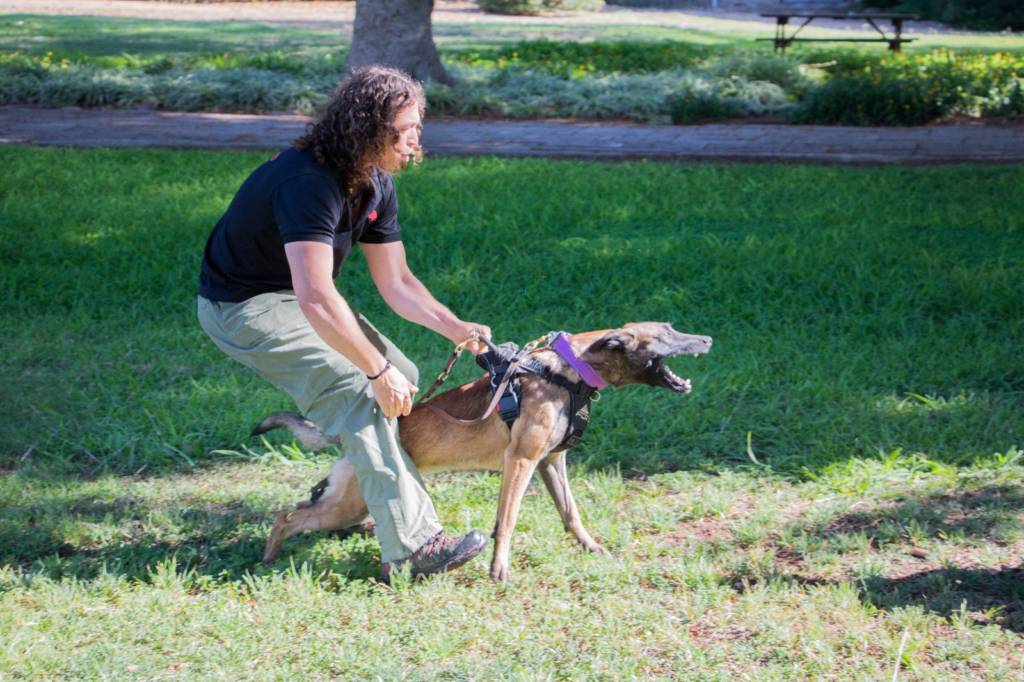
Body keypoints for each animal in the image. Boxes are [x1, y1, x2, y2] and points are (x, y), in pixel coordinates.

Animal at [253, 321, 712, 577]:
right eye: (667, 334)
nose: (707, 338)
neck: (569, 370)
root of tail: (346, 436)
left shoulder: (551, 462)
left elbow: (571, 515)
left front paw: (592, 548)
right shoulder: (521, 462)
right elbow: (506, 523)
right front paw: (498, 569)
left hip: (348, 501)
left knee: (309, 506)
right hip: (344, 504)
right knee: (287, 516)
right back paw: (267, 558)